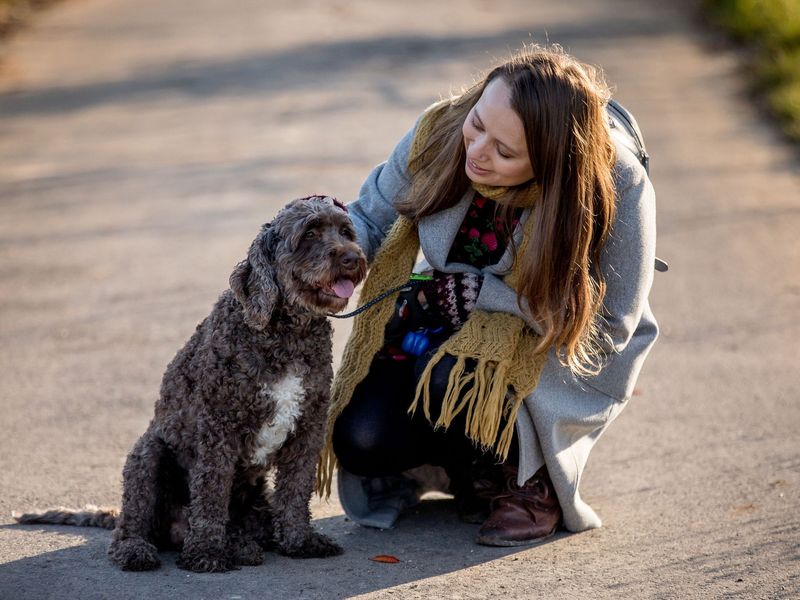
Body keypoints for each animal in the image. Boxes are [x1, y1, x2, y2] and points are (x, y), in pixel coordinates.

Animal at [15, 197, 368, 572]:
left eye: (345, 232)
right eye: (309, 234)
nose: (351, 258)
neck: (286, 333)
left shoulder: (307, 428)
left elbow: (295, 490)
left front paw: (299, 541)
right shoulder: (218, 428)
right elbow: (211, 493)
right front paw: (207, 553)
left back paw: (242, 544)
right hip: (147, 457)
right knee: (131, 525)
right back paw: (140, 549)